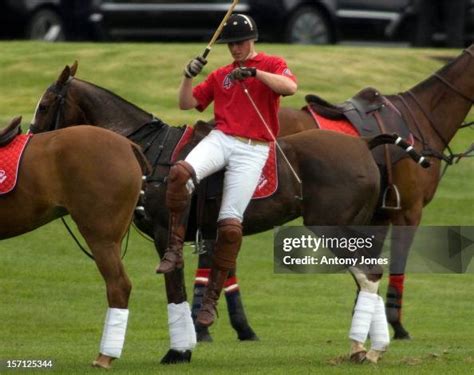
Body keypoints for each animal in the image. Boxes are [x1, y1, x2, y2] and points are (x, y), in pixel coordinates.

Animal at [27, 63, 430, 366]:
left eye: (45, 104)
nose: (28, 143)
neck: (149, 152)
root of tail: (363, 142)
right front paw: (186, 346)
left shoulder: (164, 234)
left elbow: (174, 287)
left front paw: (177, 352)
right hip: (356, 226)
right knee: (368, 272)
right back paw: (367, 348)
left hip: (332, 225)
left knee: (369, 272)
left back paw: (368, 348)